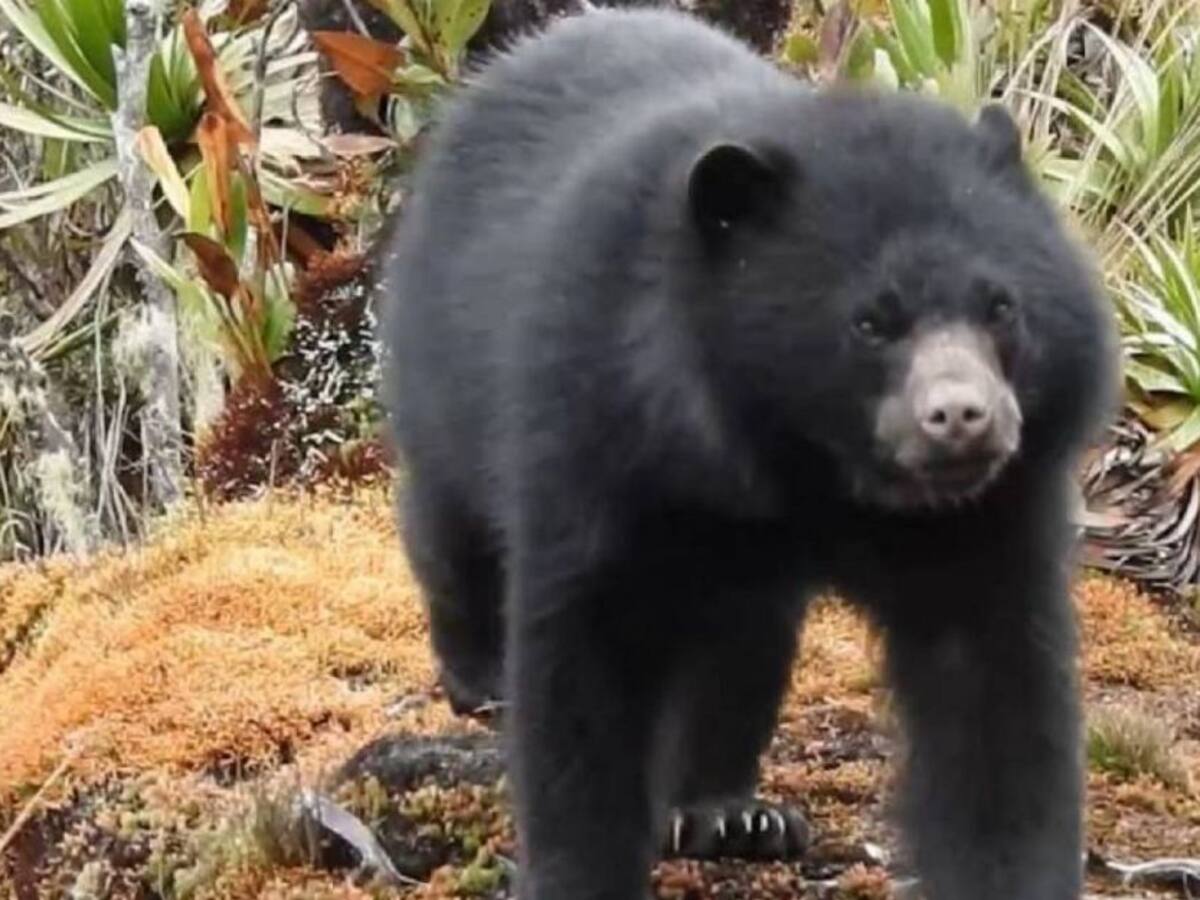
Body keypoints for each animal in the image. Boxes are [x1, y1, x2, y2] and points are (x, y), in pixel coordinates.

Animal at [377, 7, 1118, 899]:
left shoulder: (983, 520)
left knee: (741, 651)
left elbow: (993, 701)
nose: (964, 419)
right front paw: (576, 867)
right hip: (441, 366)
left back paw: (730, 813)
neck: (799, 459)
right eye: (871, 323)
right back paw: (479, 673)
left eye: (1000, 306)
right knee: (450, 521)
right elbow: (581, 663)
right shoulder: (598, 426)